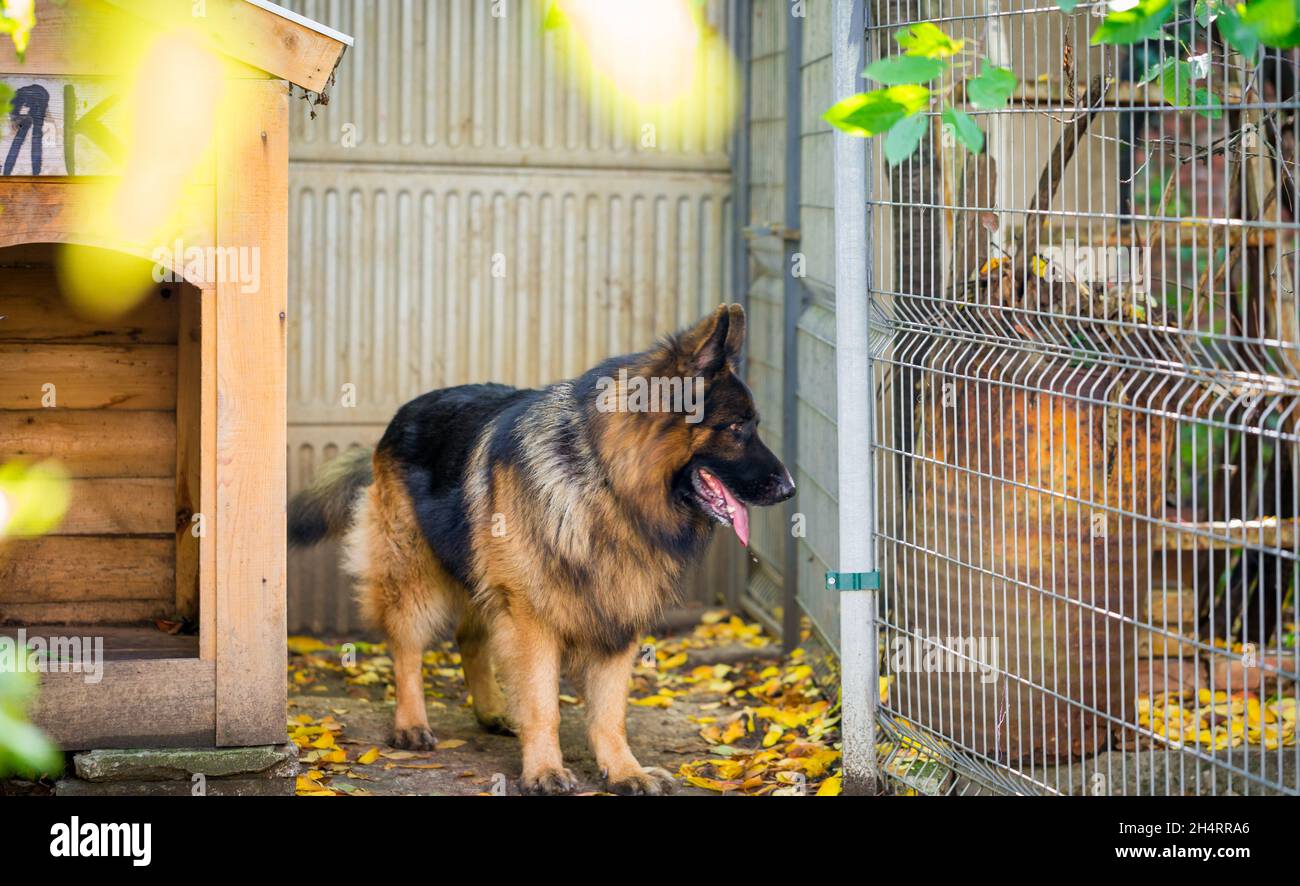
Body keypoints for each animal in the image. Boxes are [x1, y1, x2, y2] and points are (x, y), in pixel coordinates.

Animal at [287, 303, 790, 795]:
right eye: (737, 428)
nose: (790, 489)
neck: (606, 483)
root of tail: (405, 410)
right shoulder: (530, 617)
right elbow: (543, 701)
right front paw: (545, 769)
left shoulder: (618, 612)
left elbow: (610, 712)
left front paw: (623, 770)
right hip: (412, 574)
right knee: (407, 646)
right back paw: (411, 724)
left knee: (470, 636)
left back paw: (492, 710)